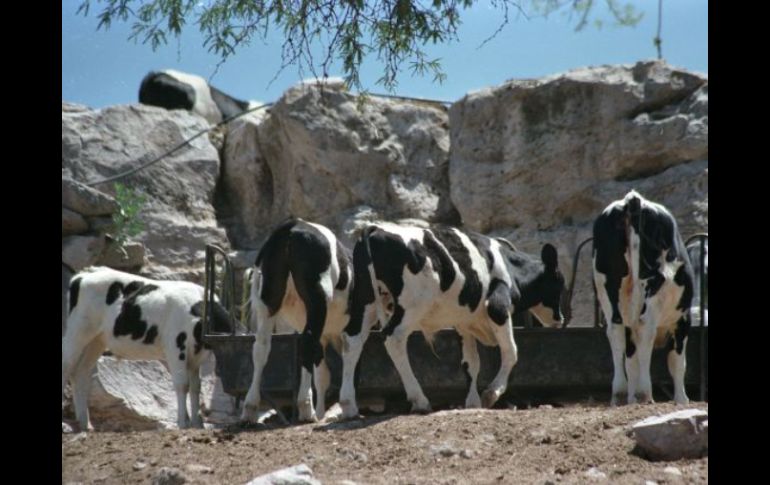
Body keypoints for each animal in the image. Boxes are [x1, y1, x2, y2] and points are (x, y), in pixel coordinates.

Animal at [62, 266, 231, 430]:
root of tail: (83, 275)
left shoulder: (196, 357)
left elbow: (196, 387)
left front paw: (197, 423)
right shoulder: (176, 348)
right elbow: (182, 385)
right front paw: (183, 423)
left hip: (97, 340)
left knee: (81, 372)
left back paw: (86, 424)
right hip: (77, 331)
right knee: (67, 366)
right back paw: (68, 424)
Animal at [238, 217, 356, 422]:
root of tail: (293, 226)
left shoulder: (325, 335)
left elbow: (322, 374)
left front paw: (322, 412)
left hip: (268, 302)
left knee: (261, 348)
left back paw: (250, 409)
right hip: (317, 300)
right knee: (307, 343)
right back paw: (306, 409)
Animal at [344, 221, 564, 414]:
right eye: (559, 284)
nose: (560, 319)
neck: (509, 268)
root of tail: (376, 229)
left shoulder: (464, 324)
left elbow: (471, 363)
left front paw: (473, 403)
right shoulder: (498, 307)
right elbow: (511, 351)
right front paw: (492, 393)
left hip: (366, 302)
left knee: (352, 340)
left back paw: (349, 407)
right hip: (410, 307)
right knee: (393, 338)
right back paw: (420, 400)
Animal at [592, 189, 692, 404]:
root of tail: (633, 200)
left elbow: (632, 362)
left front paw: (631, 398)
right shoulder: (682, 319)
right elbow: (677, 362)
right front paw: (681, 399)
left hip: (607, 288)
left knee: (615, 331)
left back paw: (620, 393)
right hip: (653, 285)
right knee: (646, 329)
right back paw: (644, 392)